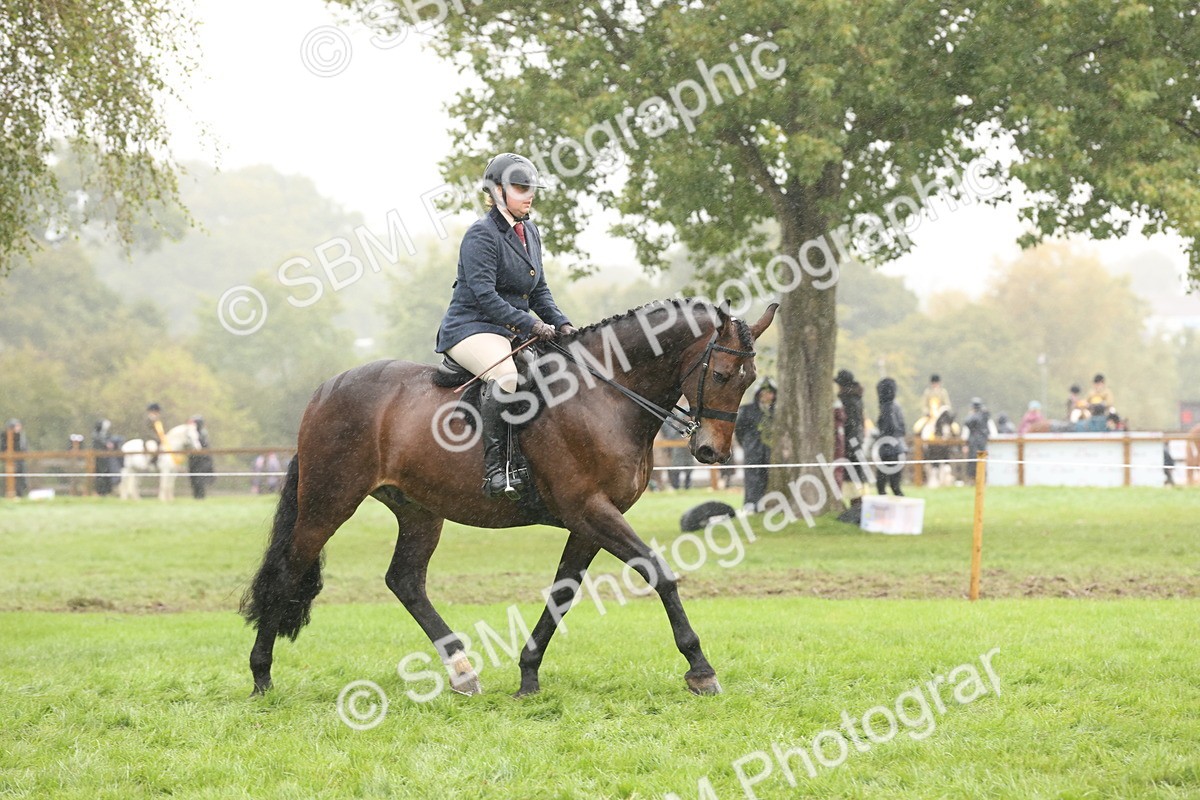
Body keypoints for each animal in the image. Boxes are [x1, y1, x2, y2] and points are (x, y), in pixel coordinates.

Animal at [241, 299, 777, 698]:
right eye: (723, 374)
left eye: (750, 379)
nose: (712, 452)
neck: (604, 395)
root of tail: (325, 390)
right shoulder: (590, 510)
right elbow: (658, 572)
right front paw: (700, 669)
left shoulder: (589, 520)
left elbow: (563, 593)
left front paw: (528, 673)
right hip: (329, 503)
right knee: (288, 571)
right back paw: (261, 675)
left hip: (419, 510)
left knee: (405, 581)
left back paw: (462, 672)